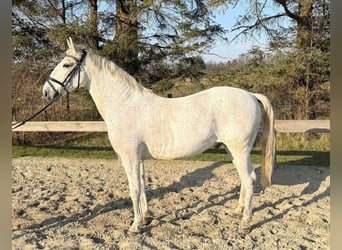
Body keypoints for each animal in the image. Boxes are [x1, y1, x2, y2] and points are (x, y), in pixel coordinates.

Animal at [42, 37, 276, 234]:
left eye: (66, 65)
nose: (46, 91)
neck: (125, 103)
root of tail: (250, 95)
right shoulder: (139, 159)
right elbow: (143, 186)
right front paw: (145, 218)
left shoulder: (129, 157)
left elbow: (134, 189)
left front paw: (135, 226)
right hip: (232, 150)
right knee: (244, 180)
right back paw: (237, 211)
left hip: (240, 150)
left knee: (249, 180)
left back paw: (245, 223)